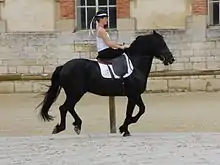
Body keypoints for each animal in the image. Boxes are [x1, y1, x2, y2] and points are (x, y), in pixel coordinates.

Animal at [37, 30, 175, 137]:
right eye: (162, 44)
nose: (171, 59)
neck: (135, 64)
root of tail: (64, 66)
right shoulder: (134, 94)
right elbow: (141, 110)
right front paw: (124, 127)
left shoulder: (131, 96)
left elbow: (129, 112)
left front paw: (125, 129)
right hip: (75, 93)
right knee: (64, 108)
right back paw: (62, 127)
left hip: (75, 93)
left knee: (68, 107)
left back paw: (77, 125)